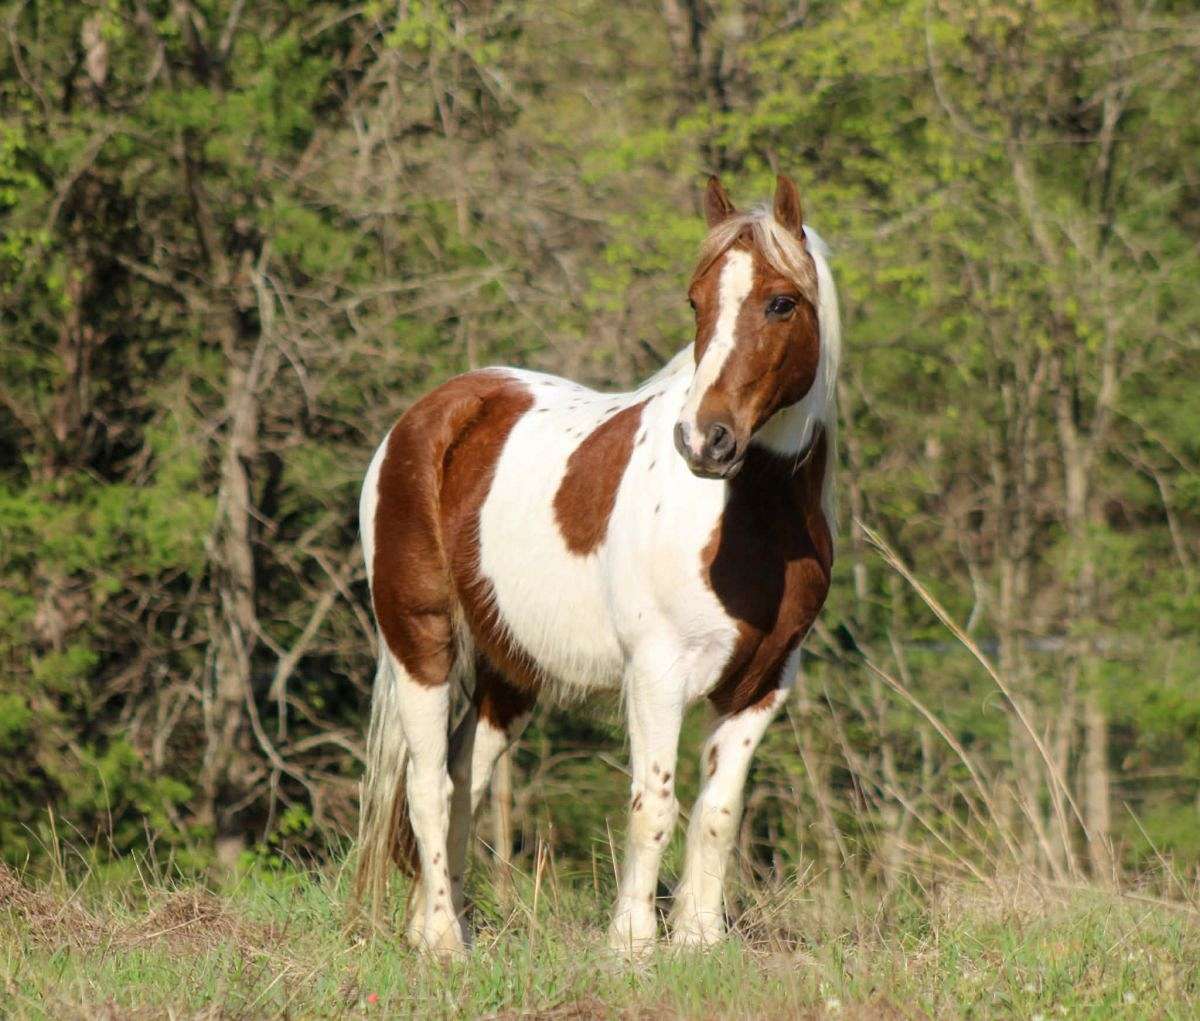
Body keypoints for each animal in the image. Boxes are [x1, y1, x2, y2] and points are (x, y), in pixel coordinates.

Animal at [353, 174, 841, 957]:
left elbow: (718, 812)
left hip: (510, 668)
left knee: (464, 776)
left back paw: (439, 924)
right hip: (418, 641)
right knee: (429, 786)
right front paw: (632, 945)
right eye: (696, 301)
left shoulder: (764, 683)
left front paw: (698, 940)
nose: (704, 441)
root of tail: (423, 421)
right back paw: (445, 945)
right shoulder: (656, 673)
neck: (746, 526)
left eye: (781, 302)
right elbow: (654, 804)